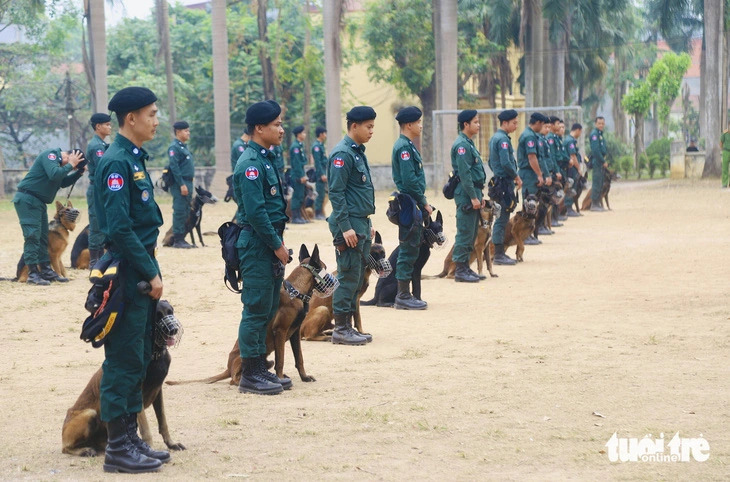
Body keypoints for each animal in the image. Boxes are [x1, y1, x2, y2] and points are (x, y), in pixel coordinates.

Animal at [60, 302, 185, 456]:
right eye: (157, 315)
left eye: (170, 312)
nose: (173, 330)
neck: (153, 355)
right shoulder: (137, 397)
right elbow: (146, 429)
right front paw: (150, 450)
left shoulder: (158, 392)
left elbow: (163, 422)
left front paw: (171, 443)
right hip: (89, 414)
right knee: (65, 448)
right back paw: (85, 450)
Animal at [166, 243, 332, 386]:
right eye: (325, 267)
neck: (295, 291)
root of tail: (228, 368)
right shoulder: (280, 331)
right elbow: (281, 360)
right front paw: (280, 378)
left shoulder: (295, 333)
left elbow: (299, 358)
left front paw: (304, 377)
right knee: (234, 379)